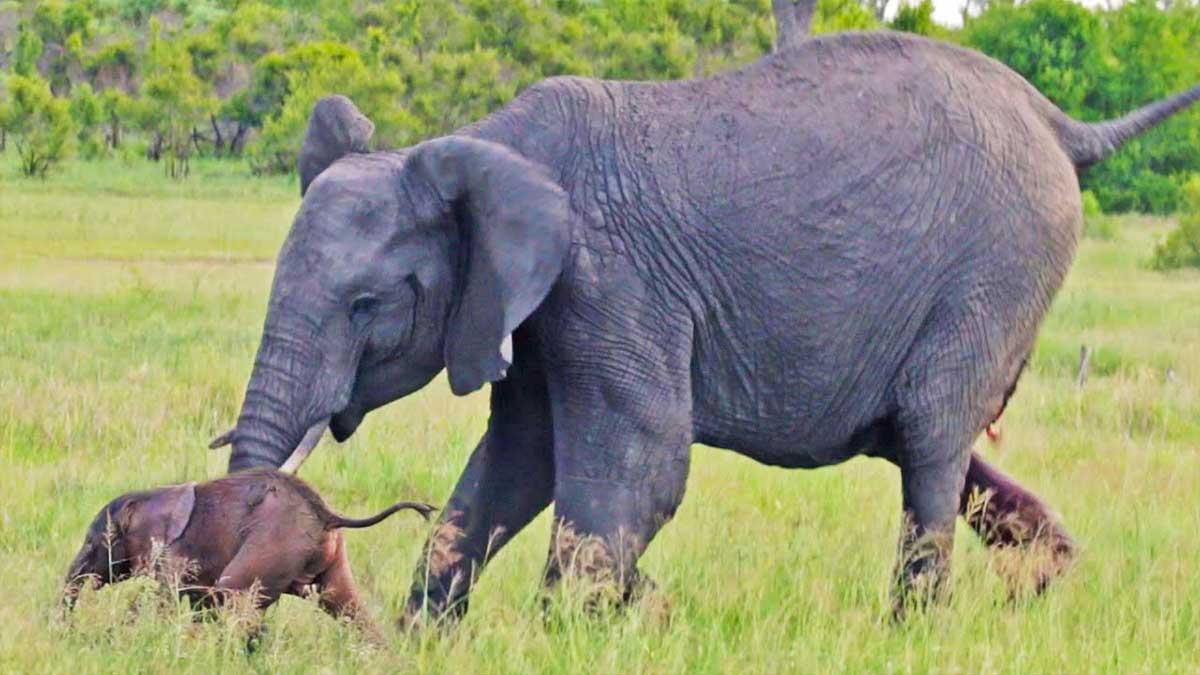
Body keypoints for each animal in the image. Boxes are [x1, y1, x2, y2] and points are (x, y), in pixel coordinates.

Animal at [63, 468, 434, 629]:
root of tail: (326, 513)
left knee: (235, 599)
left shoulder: (173, 555)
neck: (154, 494)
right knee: (347, 607)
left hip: (273, 545)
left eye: (96, 543)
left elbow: (162, 597)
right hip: (328, 558)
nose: (66, 629)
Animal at [216, 32, 1200, 619]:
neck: (485, 144)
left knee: (928, 440)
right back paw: (1048, 578)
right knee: (925, 438)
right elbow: (515, 465)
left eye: (366, 305)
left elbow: (641, 467)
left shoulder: (610, 282)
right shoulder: (527, 311)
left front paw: (580, 630)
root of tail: (1063, 124)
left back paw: (913, 629)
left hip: (998, 266)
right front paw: (431, 635)